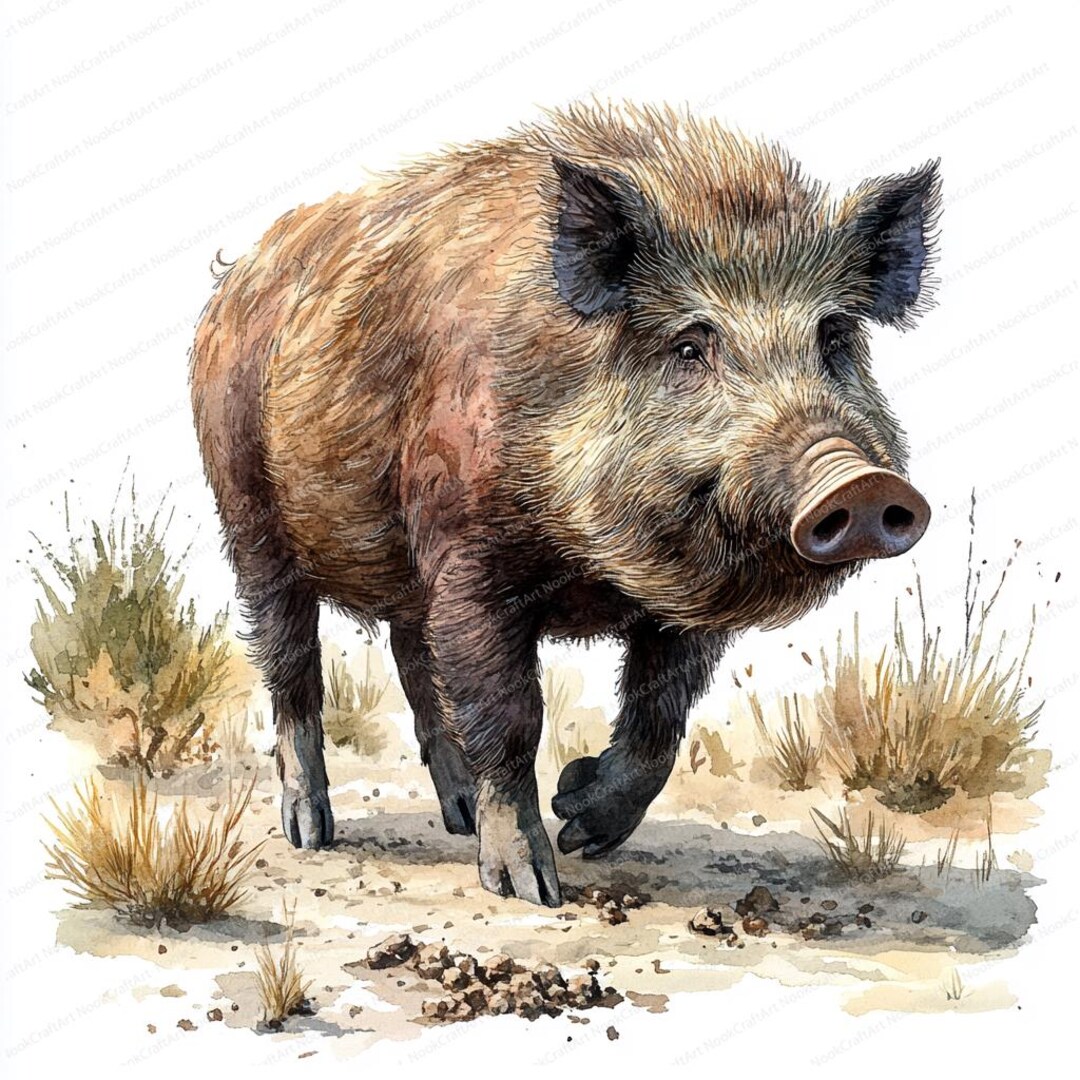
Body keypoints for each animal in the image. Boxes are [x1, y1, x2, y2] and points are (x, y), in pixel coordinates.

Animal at [190, 104, 937, 906]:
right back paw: (312, 832)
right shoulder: (471, 562)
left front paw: (579, 817)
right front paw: (534, 888)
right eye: (690, 346)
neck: (593, 562)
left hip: (404, 572)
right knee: (291, 664)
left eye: (834, 337)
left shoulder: (679, 609)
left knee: (413, 658)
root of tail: (233, 280)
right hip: (248, 516)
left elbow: (659, 719)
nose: (860, 483)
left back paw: (456, 815)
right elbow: (511, 716)